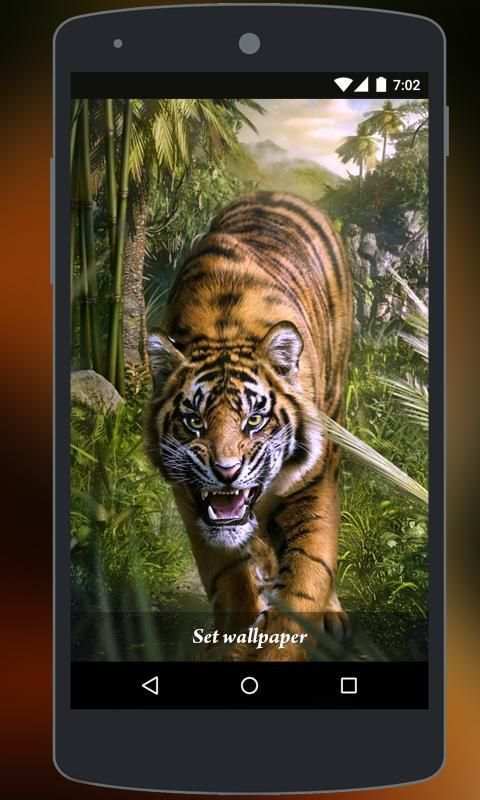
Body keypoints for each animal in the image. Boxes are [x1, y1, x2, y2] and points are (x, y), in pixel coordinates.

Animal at [146, 191, 352, 661]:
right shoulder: (191, 498)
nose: (226, 473)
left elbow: (308, 577)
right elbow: (230, 572)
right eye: (194, 421)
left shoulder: (314, 485)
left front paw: (280, 646)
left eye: (254, 420)